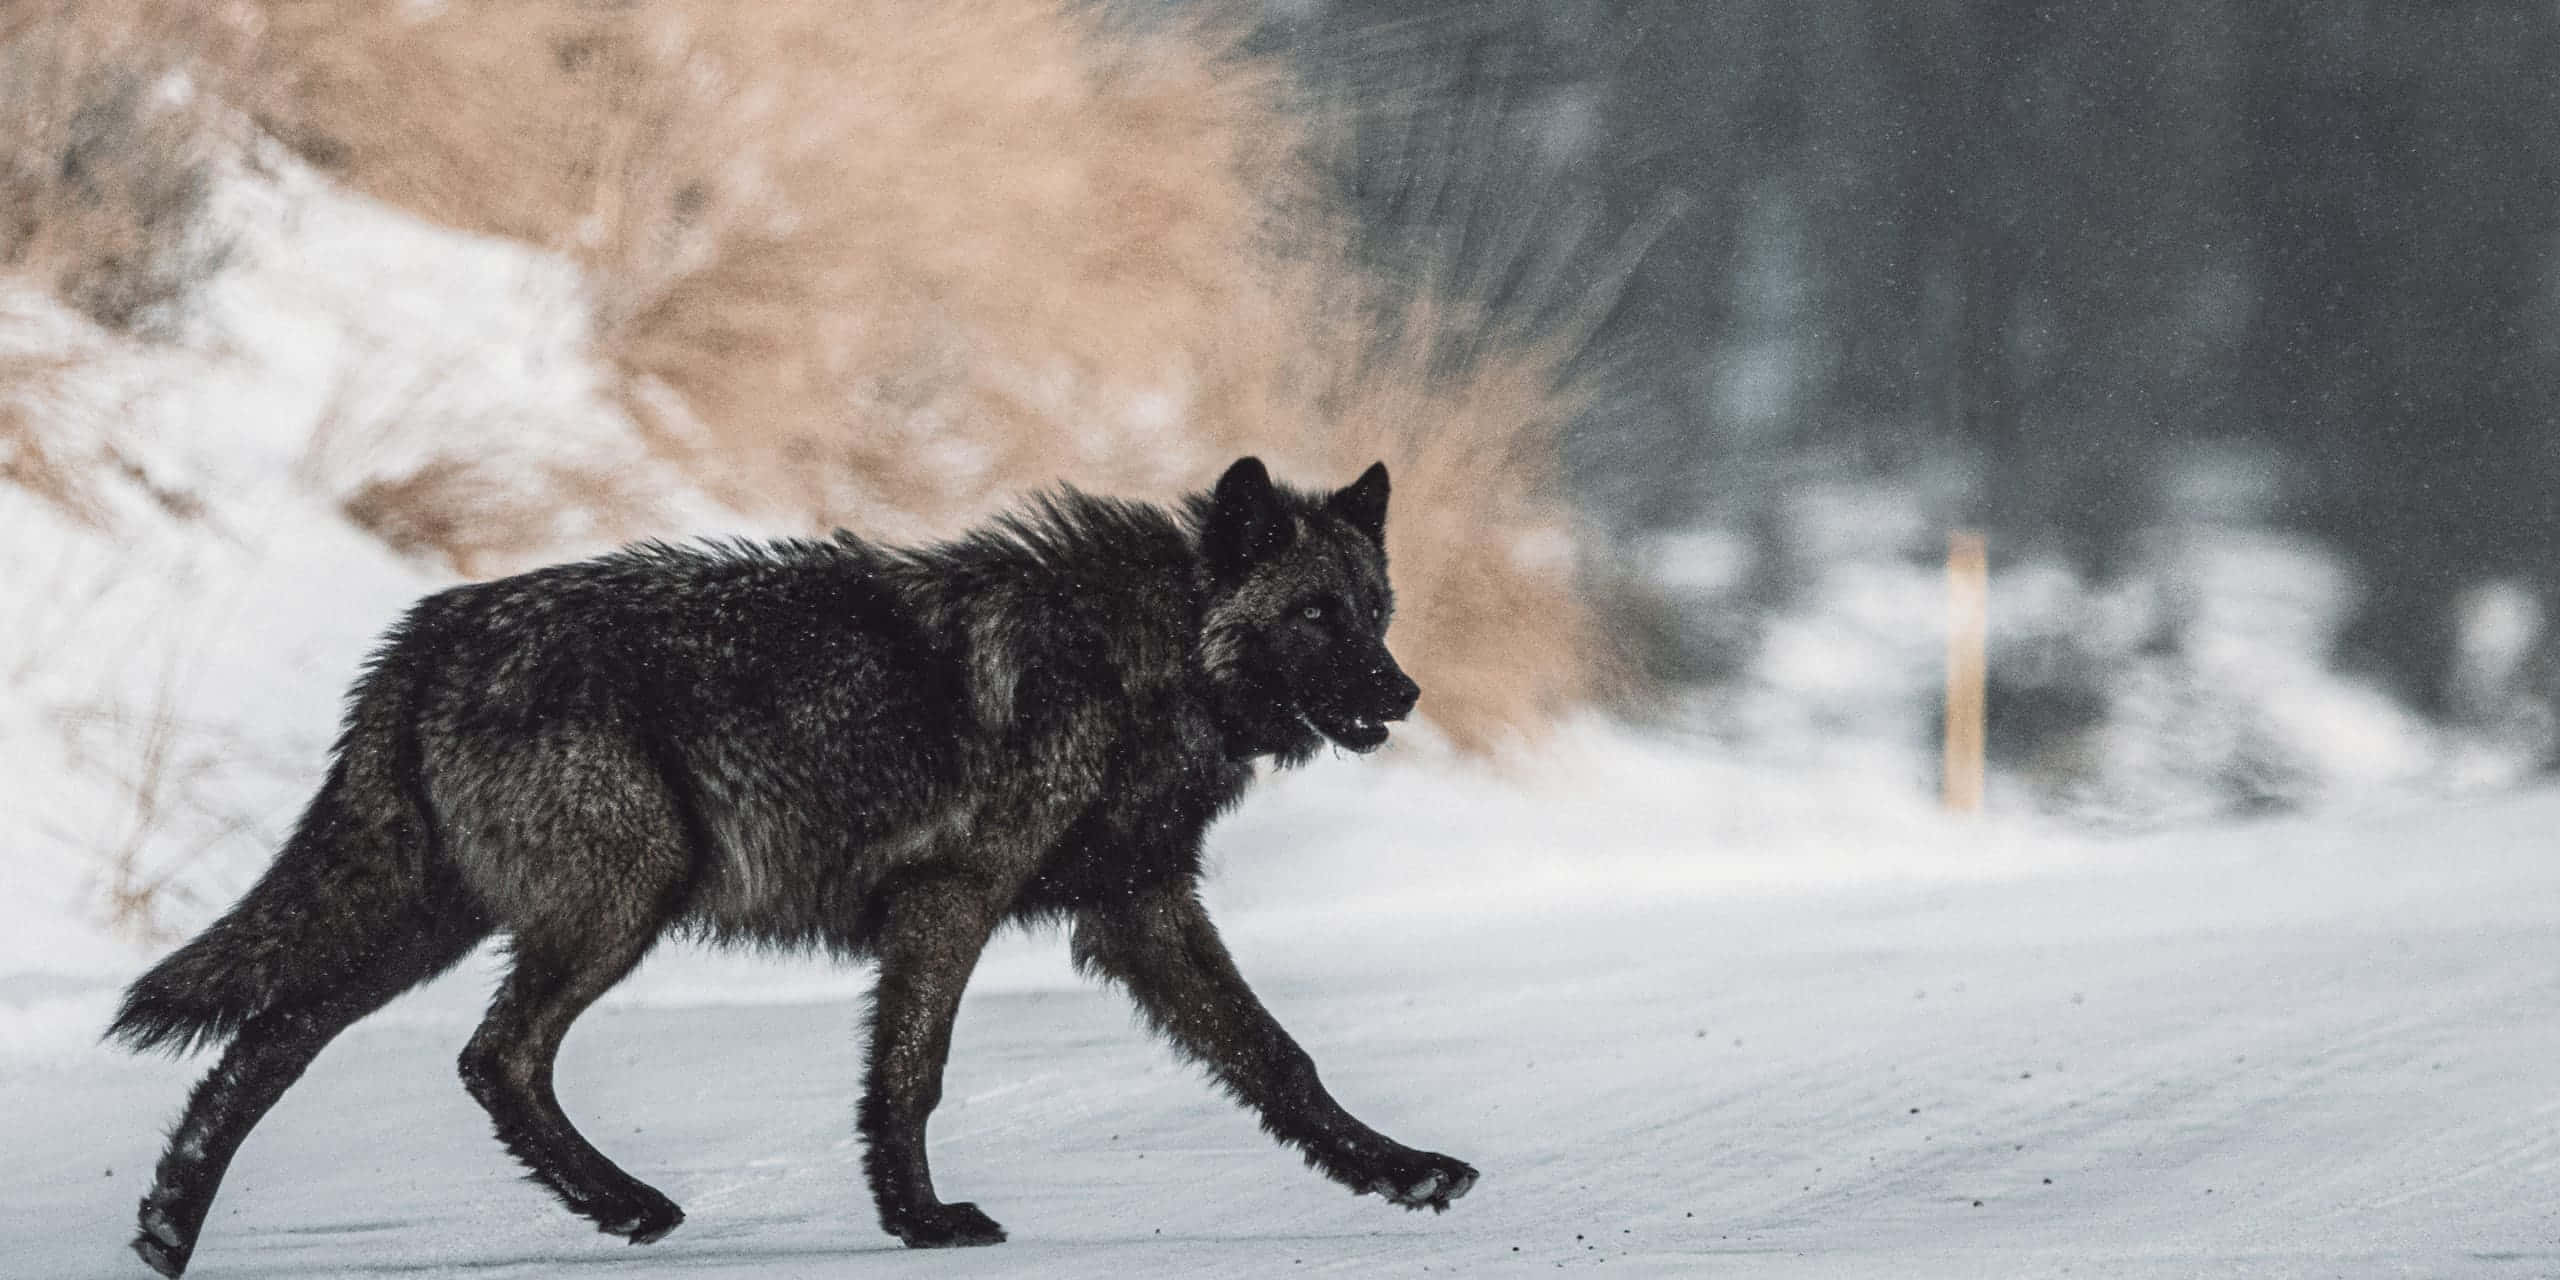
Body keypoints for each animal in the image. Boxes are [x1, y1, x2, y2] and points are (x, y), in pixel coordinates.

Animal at [106, 456, 1477, 1277]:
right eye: (1314, 614)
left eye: (1377, 608)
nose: (1406, 692)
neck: (1145, 656)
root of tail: (429, 628)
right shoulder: (953, 898)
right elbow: (911, 1074)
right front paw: (923, 1220)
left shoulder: (1138, 909)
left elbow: (1279, 1056)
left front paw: (1398, 1169)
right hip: (619, 901)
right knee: (493, 1055)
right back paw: (627, 1203)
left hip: (427, 923)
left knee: (270, 1047)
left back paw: (170, 1227)